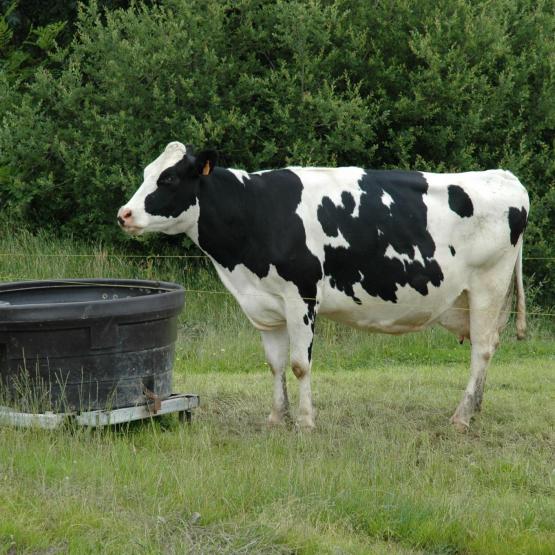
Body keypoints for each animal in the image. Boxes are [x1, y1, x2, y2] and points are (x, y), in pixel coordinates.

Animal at [117, 141, 528, 432]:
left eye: (168, 179)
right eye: (146, 172)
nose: (124, 214)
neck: (257, 212)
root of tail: (504, 176)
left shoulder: (302, 295)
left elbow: (300, 365)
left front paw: (305, 422)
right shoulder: (265, 304)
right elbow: (275, 364)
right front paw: (276, 417)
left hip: (488, 286)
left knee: (482, 349)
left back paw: (462, 416)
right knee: (488, 346)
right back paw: (476, 407)